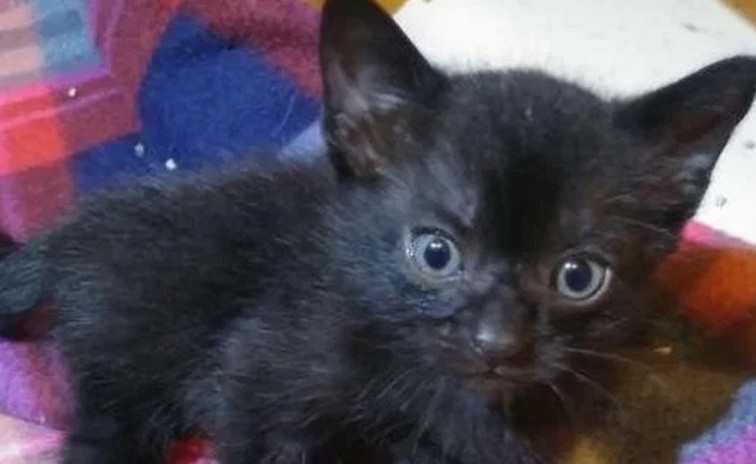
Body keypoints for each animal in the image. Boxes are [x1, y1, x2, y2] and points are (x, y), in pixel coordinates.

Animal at [0, 0, 754, 463]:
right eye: (436, 253)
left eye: (578, 276)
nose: (497, 342)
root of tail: (74, 234)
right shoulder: (254, 371)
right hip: (136, 343)